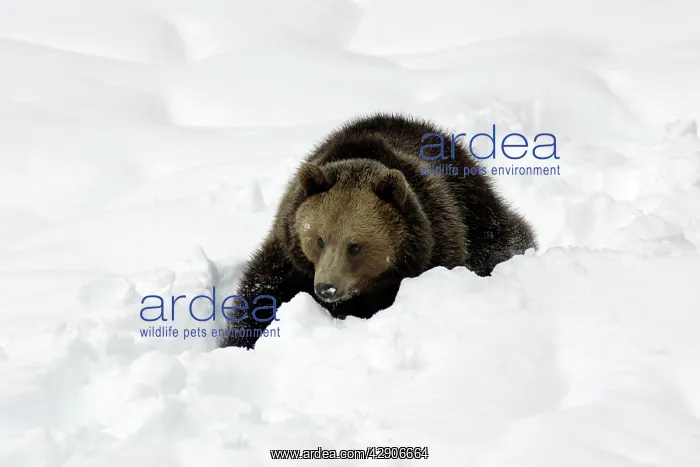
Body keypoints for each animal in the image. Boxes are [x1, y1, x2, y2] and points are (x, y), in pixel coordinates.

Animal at [218, 113, 537, 349]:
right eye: (318, 240)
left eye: (355, 246)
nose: (326, 288)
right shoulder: (289, 257)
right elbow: (260, 298)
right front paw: (241, 341)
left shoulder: (436, 246)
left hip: (472, 204)